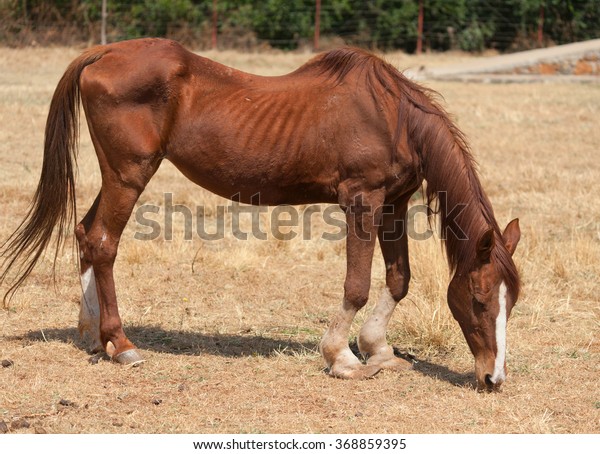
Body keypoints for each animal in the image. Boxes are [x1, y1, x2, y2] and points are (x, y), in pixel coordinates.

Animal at [1, 40, 520, 390]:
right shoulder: (362, 201)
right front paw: (341, 357)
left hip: (116, 175)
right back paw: (122, 345)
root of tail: (103, 52)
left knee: (85, 233)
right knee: (104, 242)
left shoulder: (393, 203)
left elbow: (398, 280)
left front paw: (379, 349)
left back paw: (92, 335)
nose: (492, 379)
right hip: (129, 174)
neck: (393, 117)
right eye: (478, 299)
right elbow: (356, 285)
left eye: (511, 302)